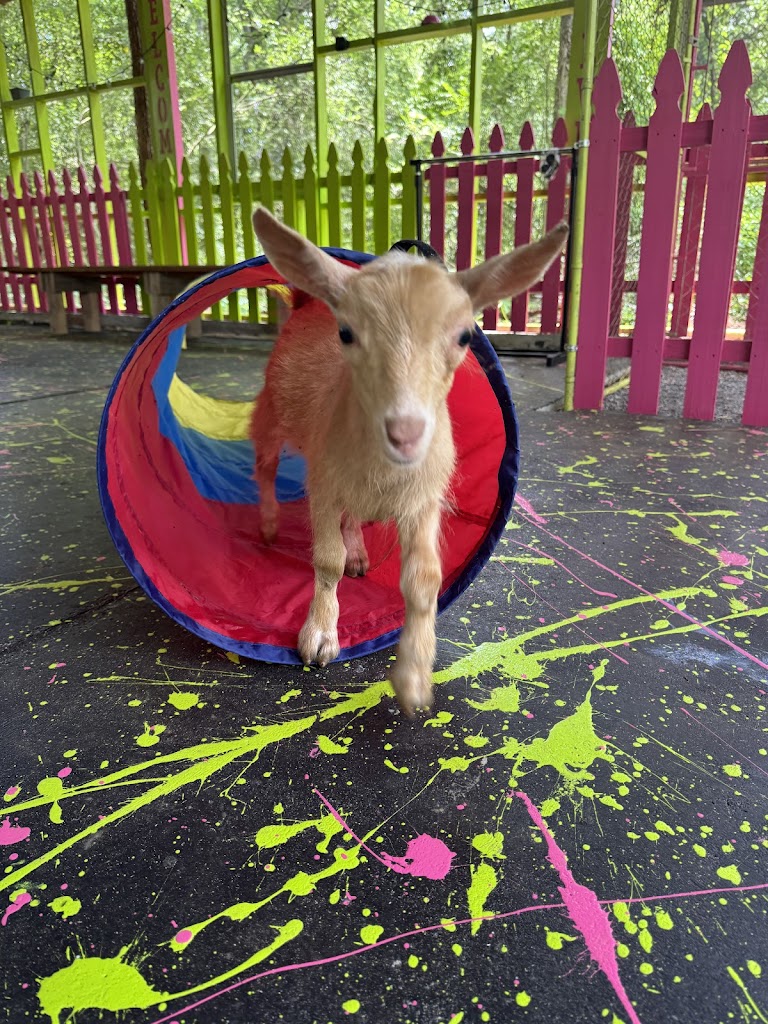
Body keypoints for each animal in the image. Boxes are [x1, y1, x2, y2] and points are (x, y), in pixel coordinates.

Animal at [251, 208, 568, 715]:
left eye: (465, 335)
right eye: (347, 333)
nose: (405, 432)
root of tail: (306, 303)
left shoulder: (423, 498)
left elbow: (424, 579)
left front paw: (415, 679)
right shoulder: (323, 484)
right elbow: (326, 562)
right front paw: (318, 637)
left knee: (353, 517)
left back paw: (359, 552)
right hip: (271, 411)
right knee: (263, 465)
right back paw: (267, 525)